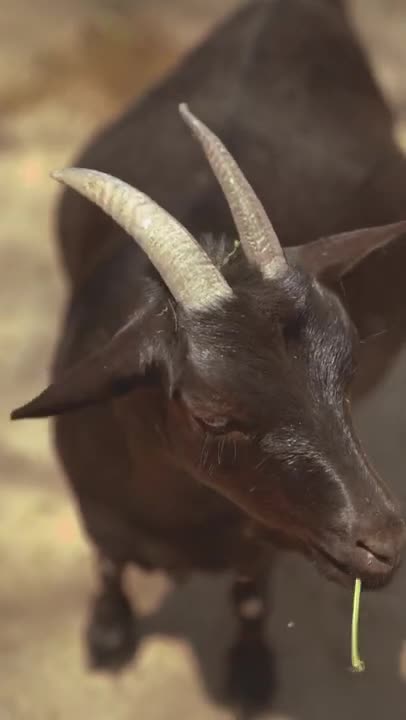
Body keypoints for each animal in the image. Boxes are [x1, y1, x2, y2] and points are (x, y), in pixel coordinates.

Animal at [11, 0, 406, 709]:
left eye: (349, 370)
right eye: (211, 414)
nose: (382, 545)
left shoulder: (262, 540)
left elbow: (249, 600)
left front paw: (250, 677)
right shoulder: (95, 508)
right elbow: (107, 565)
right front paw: (108, 638)